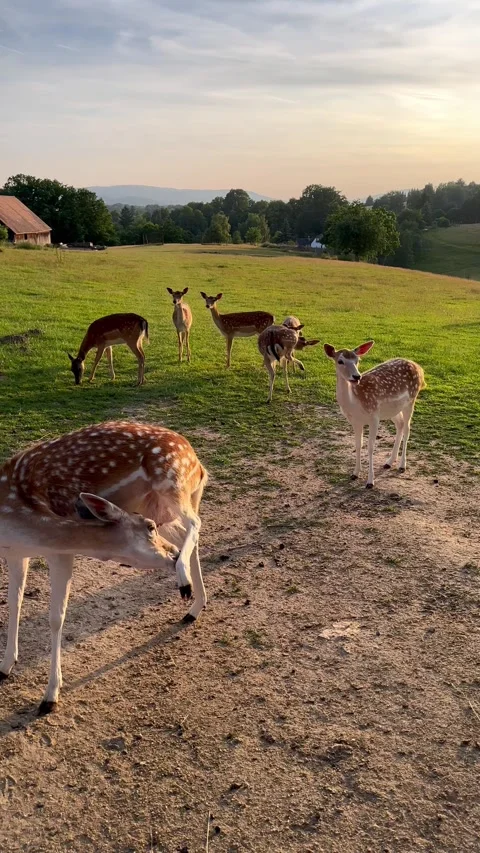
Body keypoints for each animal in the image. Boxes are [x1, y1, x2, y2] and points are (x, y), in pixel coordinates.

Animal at [0, 420, 208, 714]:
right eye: (149, 528)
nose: (171, 556)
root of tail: (198, 463)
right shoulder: (15, 553)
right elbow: (14, 603)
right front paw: (5, 666)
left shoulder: (60, 552)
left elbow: (56, 618)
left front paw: (50, 697)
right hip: (156, 505)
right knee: (184, 533)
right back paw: (194, 605)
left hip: (173, 483)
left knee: (195, 523)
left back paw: (185, 582)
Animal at [324, 341, 425, 488]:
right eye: (340, 361)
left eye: (357, 360)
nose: (357, 377)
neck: (355, 403)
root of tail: (419, 368)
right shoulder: (355, 421)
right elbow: (358, 445)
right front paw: (354, 473)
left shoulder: (374, 417)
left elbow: (370, 447)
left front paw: (370, 482)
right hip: (393, 409)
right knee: (400, 425)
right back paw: (389, 462)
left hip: (411, 400)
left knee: (407, 429)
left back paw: (402, 466)